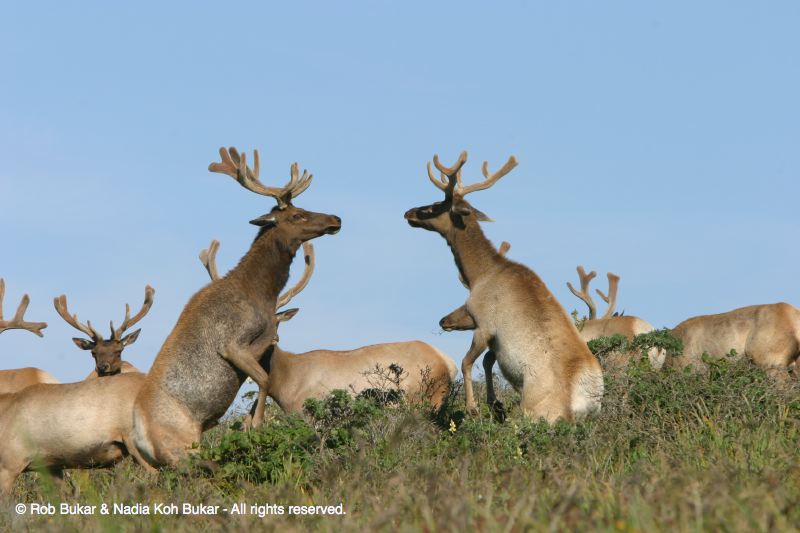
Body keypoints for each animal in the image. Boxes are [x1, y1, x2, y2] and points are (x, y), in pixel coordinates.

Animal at [131, 146, 341, 467]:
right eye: (298, 214)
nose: (335, 219)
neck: (261, 293)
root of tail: (138, 440)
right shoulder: (233, 343)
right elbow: (264, 379)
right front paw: (254, 425)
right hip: (183, 451)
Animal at [200, 240, 458, 428]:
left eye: (278, 322)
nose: (274, 339)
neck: (285, 385)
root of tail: (447, 362)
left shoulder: (309, 414)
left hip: (425, 398)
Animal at [404, 151, 603, 422]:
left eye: (436, 206)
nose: (409, 213)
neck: (479, 275)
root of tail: (584, 398)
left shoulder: (484, 325)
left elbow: (467, 362)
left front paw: (474, 406)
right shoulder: (495, 340)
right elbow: (487, 362)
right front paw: (494, 404)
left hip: (535, 408)